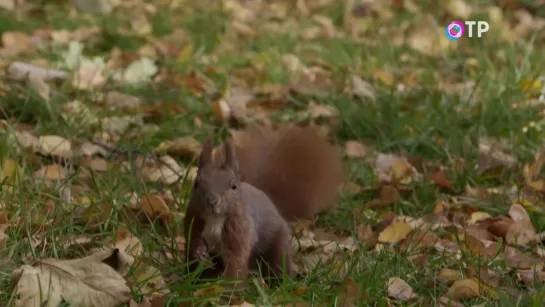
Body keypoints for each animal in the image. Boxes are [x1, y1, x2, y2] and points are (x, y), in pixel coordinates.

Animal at [184, 124, 344, 286]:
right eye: (196, 183)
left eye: (234, 186)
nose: (212, 201)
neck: (215, 219)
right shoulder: (193, 220)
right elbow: (194, 240)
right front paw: (200, 252)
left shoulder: (241, 230)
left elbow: (236, 258)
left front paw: (230, 286)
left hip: (278, 247)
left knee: (276, 266)